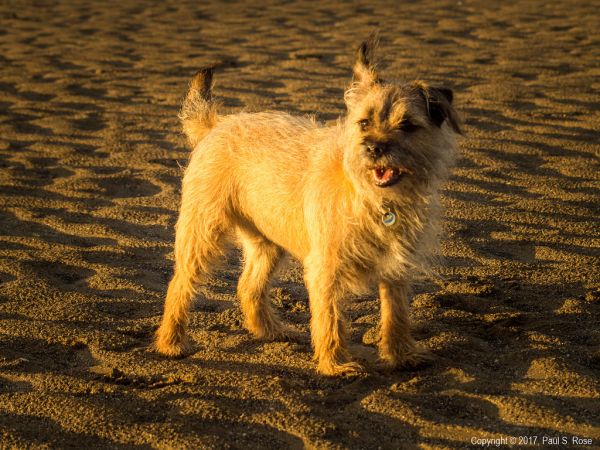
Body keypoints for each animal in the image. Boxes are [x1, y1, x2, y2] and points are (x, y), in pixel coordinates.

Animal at [154, 37, 460, 376]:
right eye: (364, 123)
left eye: (407, 125)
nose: (373, 148)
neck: (373, 196)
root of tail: (217, 124)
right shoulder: (325, 266)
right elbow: (330, 318)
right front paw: (335, 364)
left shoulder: (395, 268)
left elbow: (397, 314)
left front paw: (402, 354)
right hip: (203, 234)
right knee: (179, 284)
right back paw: (170, 343)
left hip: (267, 240)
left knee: (248, 286)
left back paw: (272, 330)